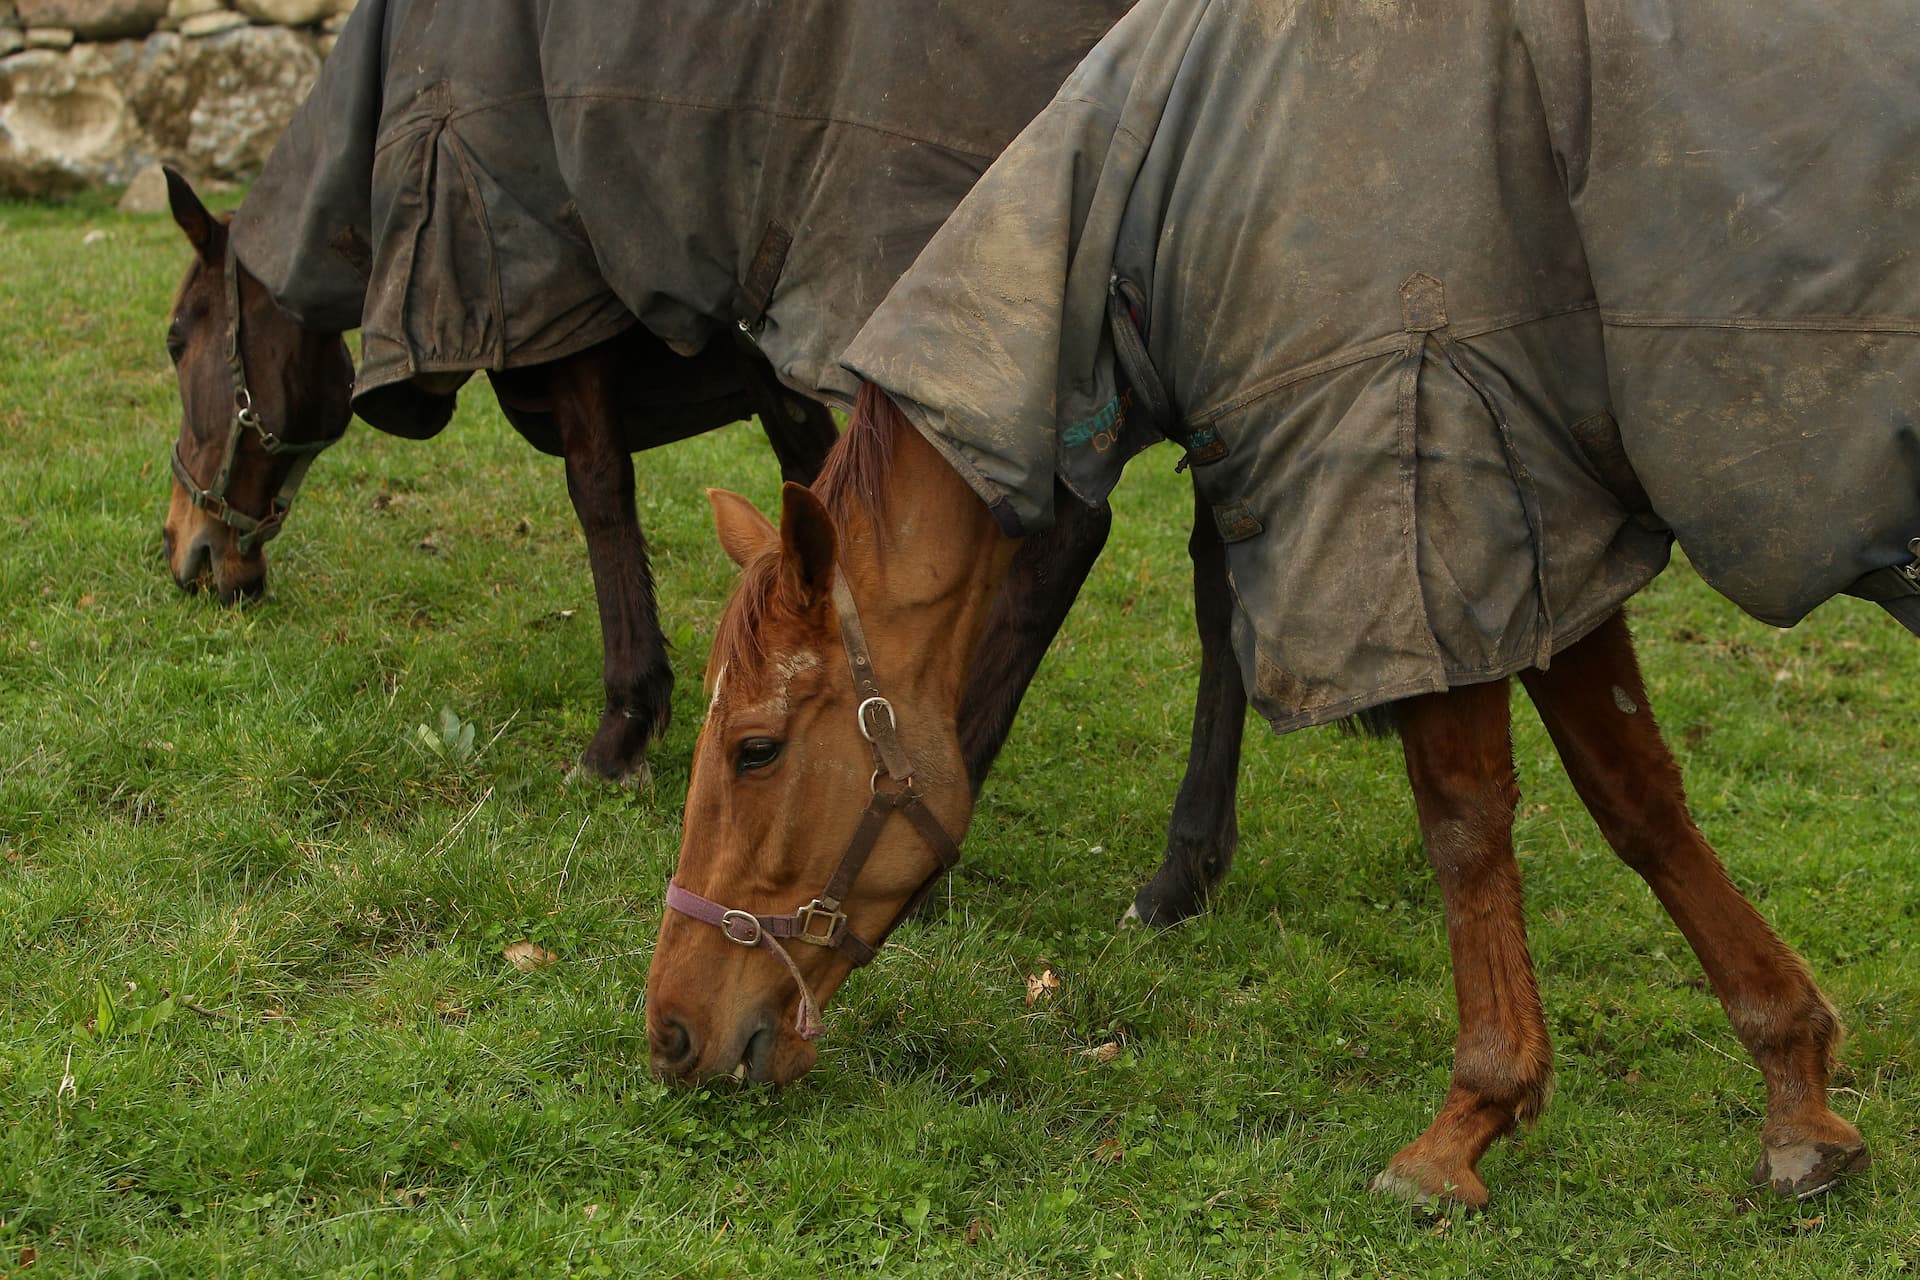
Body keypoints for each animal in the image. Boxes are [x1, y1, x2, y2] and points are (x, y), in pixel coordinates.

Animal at [646, 386, 1871, 1211]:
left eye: (755, 748)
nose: (668, 1031)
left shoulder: (1446, 542)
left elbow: (1468, 819)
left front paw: (1465, 1123)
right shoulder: (1541, 546)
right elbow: (1637, 798)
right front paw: (1796, 1082)